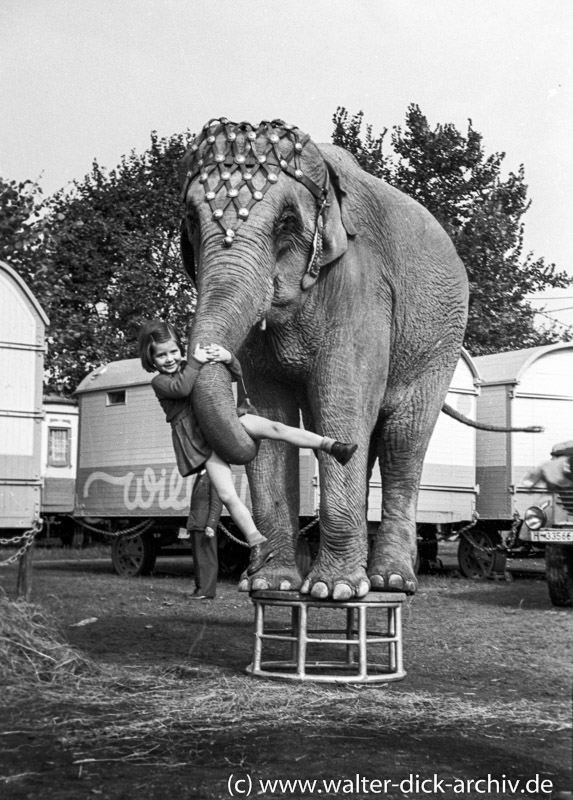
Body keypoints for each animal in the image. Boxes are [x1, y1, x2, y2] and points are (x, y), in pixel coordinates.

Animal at [179, 115, 470, 596]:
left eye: (286, 222)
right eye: (191, 221)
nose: (213, 353)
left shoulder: (361, 286)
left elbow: (342, 402)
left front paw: (333, 591)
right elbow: (272, 412)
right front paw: (271, 585)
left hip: (439, 344)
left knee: (402, 442)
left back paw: (391, 581)